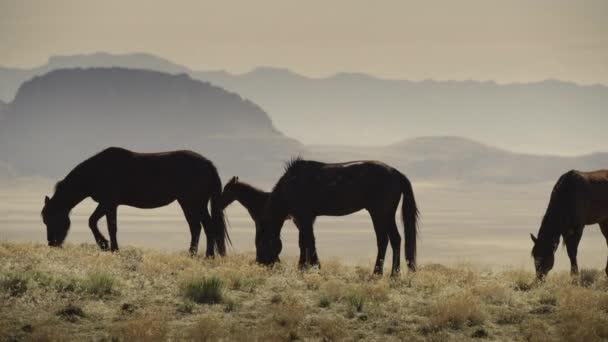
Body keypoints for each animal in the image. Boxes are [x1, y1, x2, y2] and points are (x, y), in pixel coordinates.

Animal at [41, 147, 230, 256]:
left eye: (52, 218)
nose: (52, 243)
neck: (97, 171)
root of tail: (207, 163)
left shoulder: (109, 203)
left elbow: (107, 225)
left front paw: (108, 246)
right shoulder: (107, 204)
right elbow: (97, 222)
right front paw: (107, 246)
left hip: (194, 203)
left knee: (205, 226)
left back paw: (206, 255)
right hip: (190, 203)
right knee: (198, 227)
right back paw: (196, 254)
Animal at [255, 158, 418, 276]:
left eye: (261, 243)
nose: (260, 263)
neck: (292, 184)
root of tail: (397, 173)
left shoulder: (304, 217)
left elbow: (307, 241)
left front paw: (310, 266)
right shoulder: (304, 219)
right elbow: (305, 241)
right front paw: (306, 266)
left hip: (379, 213)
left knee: (383, 240)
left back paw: (378, 272)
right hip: (388, 215)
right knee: (396, 239)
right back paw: (394, 274)